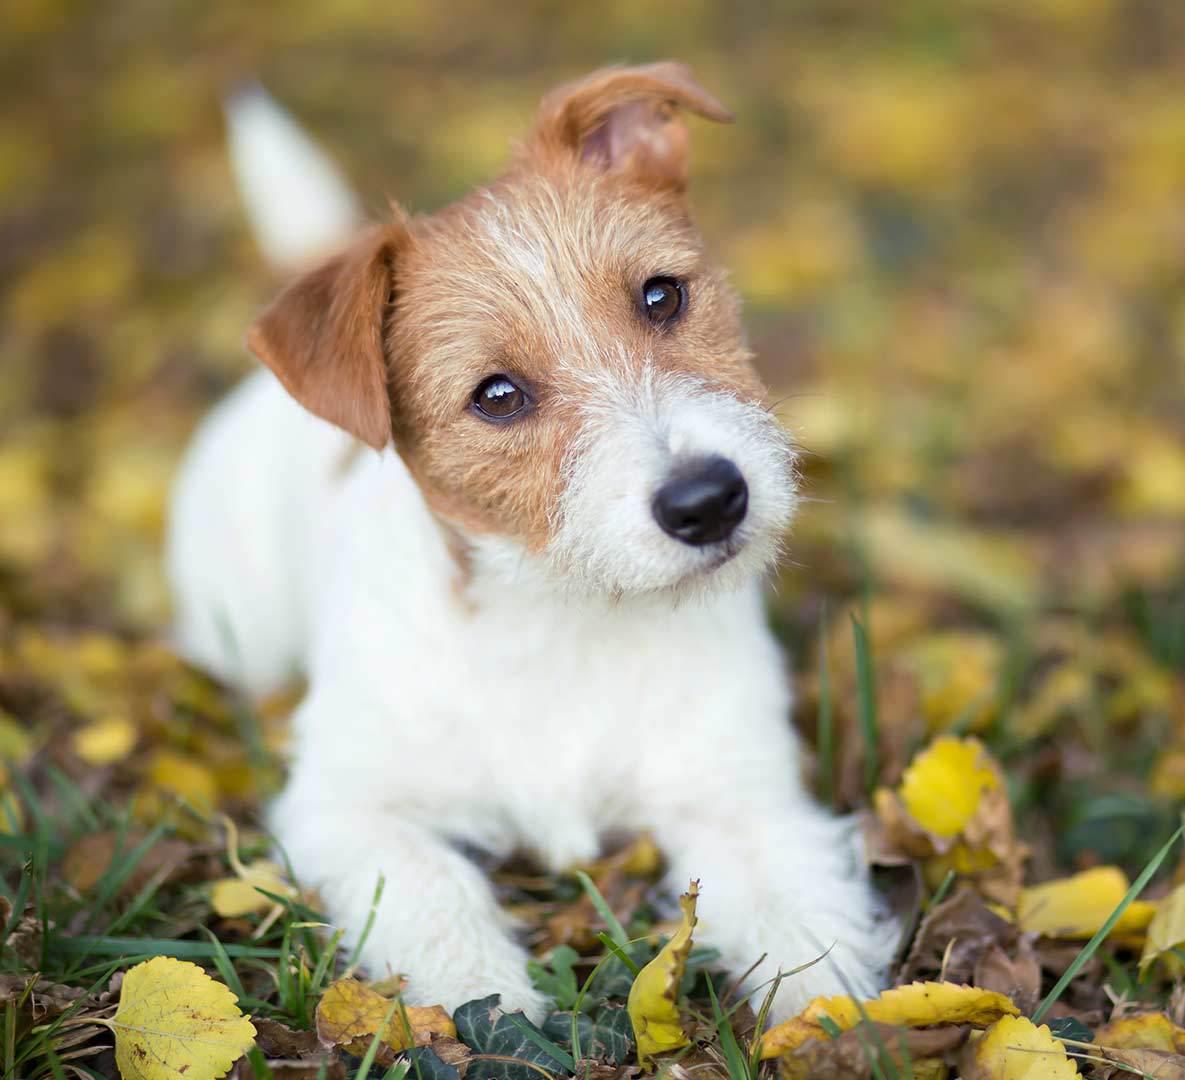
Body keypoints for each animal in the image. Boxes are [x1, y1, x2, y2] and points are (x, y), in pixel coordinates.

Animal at [164, 61, 891, 1024]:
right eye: (497, 395)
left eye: (662, 295)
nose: (709, 501)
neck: (567, 618)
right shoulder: (347, 807)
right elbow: (432, 888)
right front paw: (482, 1001)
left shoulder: (735, 792)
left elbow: (797, 920)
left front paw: (841, 1023)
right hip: (238, 634)